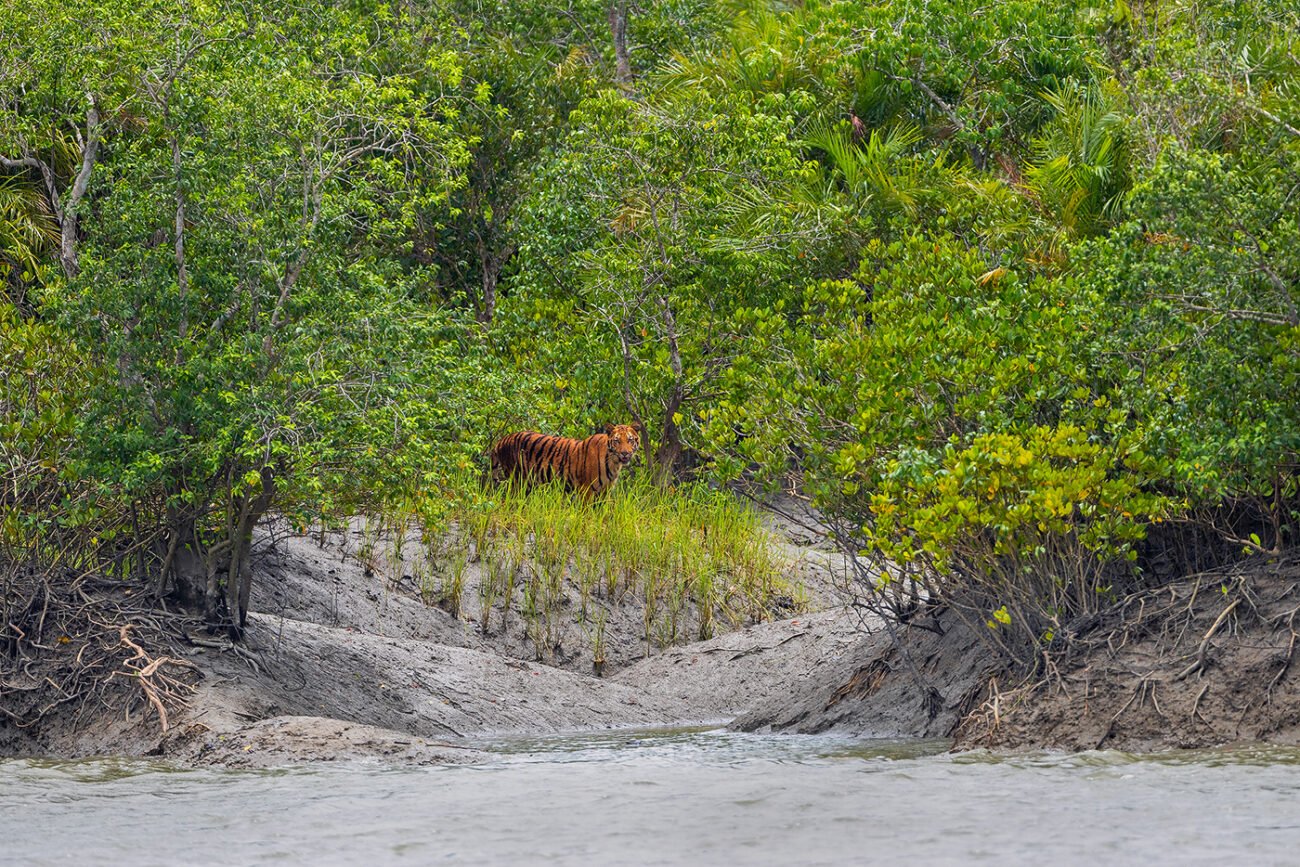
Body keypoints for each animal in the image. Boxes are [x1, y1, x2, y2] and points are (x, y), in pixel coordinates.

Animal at [490, 424, 641, 500]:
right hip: (518, 481)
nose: (625, 453)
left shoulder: (605, 491)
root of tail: (502, 440)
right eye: (617, 441)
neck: (614, 463)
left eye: (630, 440)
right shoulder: (586, 490)